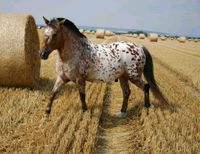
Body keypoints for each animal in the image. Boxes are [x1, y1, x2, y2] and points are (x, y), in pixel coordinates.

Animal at [39, 16, 169, 117]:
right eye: (45, 32)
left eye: (55, 34)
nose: (42, 54)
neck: (74, 53)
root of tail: (140, 47)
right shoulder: (62, 78)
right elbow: (53, 93)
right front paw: (46, 113)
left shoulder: (80, 80)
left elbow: (82, 96)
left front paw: (85, 112)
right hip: (123, 77)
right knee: (127, 92)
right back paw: (122, 112)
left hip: (134, 76)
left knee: (146, 87)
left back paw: (147, 107)